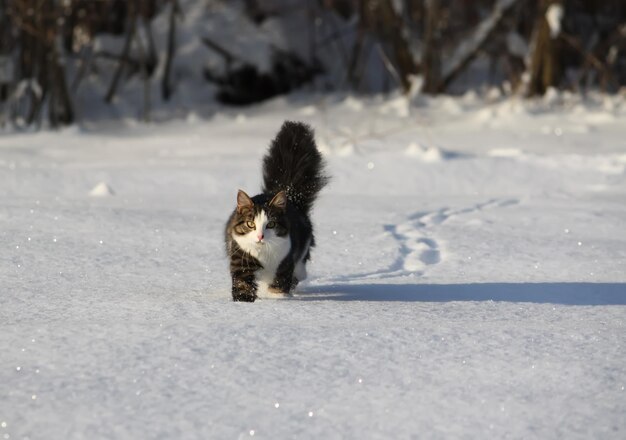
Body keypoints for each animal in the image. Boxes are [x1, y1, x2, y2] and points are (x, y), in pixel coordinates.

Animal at [223, 120, 326, 302]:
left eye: (270, 224)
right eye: (250, 224)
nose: (260, 237)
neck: (263, 254)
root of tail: (291, 196)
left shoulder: (286, 261)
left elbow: (279, 285)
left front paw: (277, 299)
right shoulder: (240, 258)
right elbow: (242, 284)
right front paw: (243, 302)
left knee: (300, 272)